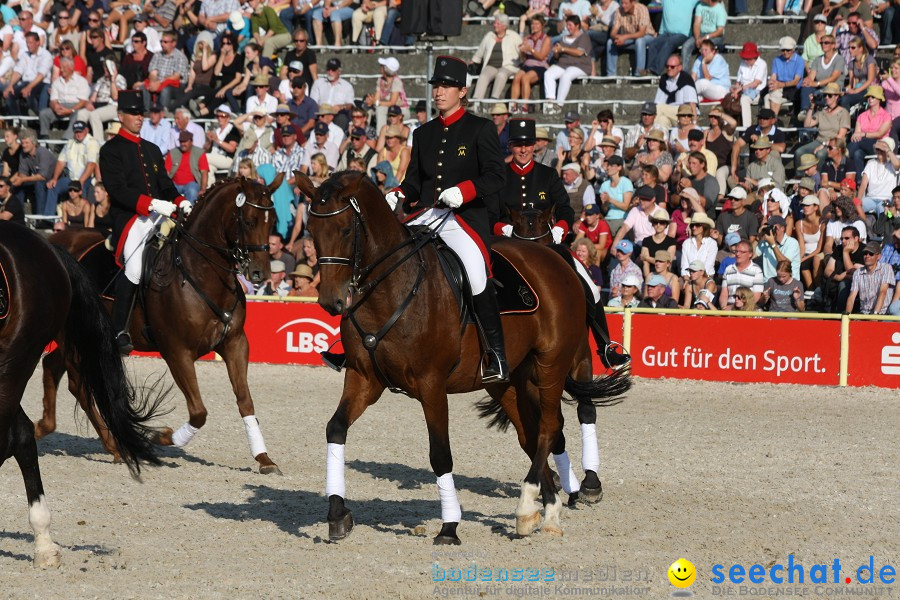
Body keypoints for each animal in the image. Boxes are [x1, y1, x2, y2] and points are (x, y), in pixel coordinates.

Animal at [37, 176, 284, 476]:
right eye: (248, 221)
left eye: (272, 222)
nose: (260, 273)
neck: (200, 271)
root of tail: (52, 241)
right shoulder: (177, 352)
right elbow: (199, 412)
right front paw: (162, 436)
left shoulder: (235, 343)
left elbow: (245, 400)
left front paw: (264, 458)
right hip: (78, 339)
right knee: (79, 387)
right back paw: (108, 444)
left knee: (54, 367)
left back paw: (53, 430)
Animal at [302, 171, 624, 548]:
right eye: (312, 230)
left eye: (344, 230)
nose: (331, 301)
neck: (391, 288)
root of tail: (551, 259)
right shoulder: (364, 378)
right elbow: (335, 428)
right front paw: (338, 514)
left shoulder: (431, 385)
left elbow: (440, 454)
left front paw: (449, 526)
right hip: (508, 380)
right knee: (530, 434)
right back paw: (543, 510)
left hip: (553, 364)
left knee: (550, 427)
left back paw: (534, 501)